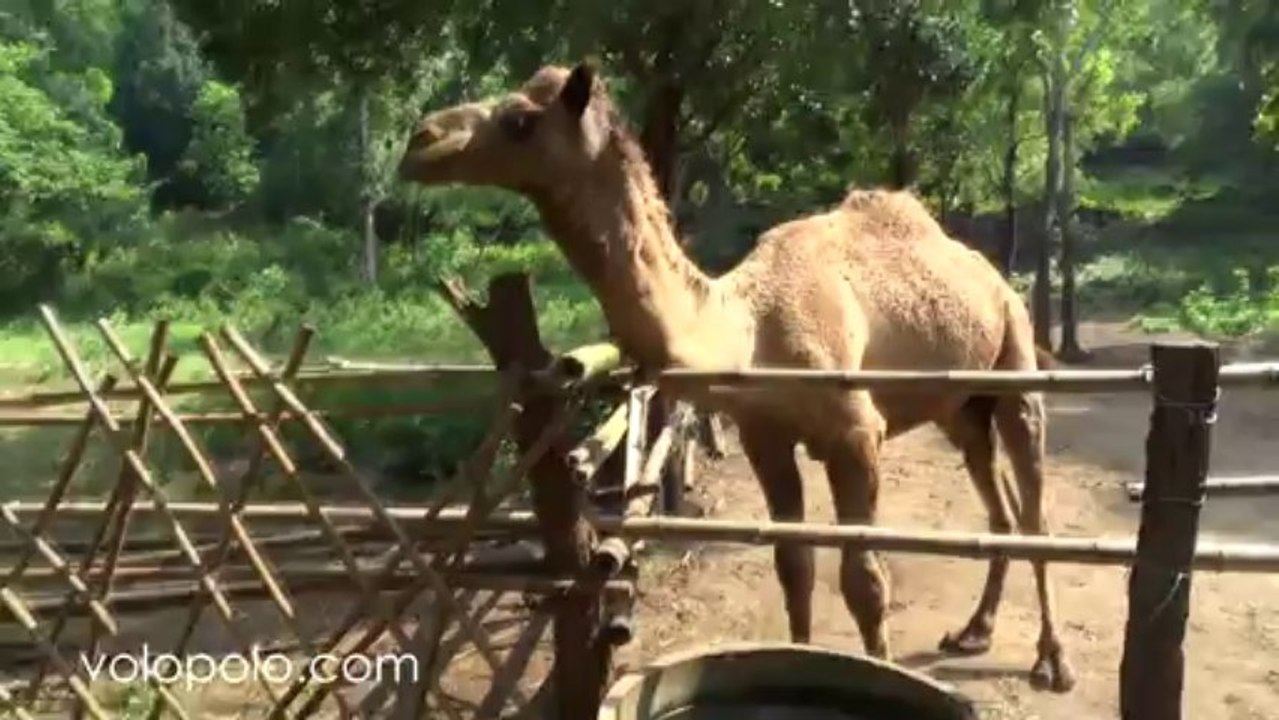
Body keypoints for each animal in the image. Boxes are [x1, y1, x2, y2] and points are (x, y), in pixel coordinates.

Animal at [397, 61, 1075, 692]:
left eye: (520, 120)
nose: (419, 140)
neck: (749, 331)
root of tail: (993, 275)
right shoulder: (765, 438)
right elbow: (794, 567)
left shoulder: (857, 435)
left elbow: (865, 582)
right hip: (961, 406)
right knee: (1000, 510)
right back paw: (973, 632)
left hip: (1015, 359)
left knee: (1035, 510)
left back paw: (1053, 662)